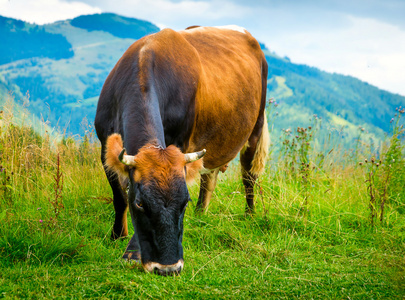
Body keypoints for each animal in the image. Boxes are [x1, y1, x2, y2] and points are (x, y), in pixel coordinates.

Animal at [94, 24, 268, 276]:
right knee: (209, 178)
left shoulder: (181, 142)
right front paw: (118, 235)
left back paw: (250, 214)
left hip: (255, 127)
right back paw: (201, 213)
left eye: (183, 202)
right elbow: (120, 197)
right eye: (140, 203)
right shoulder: (104, 148)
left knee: (248, 177)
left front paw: (132, 252)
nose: (168, 267)